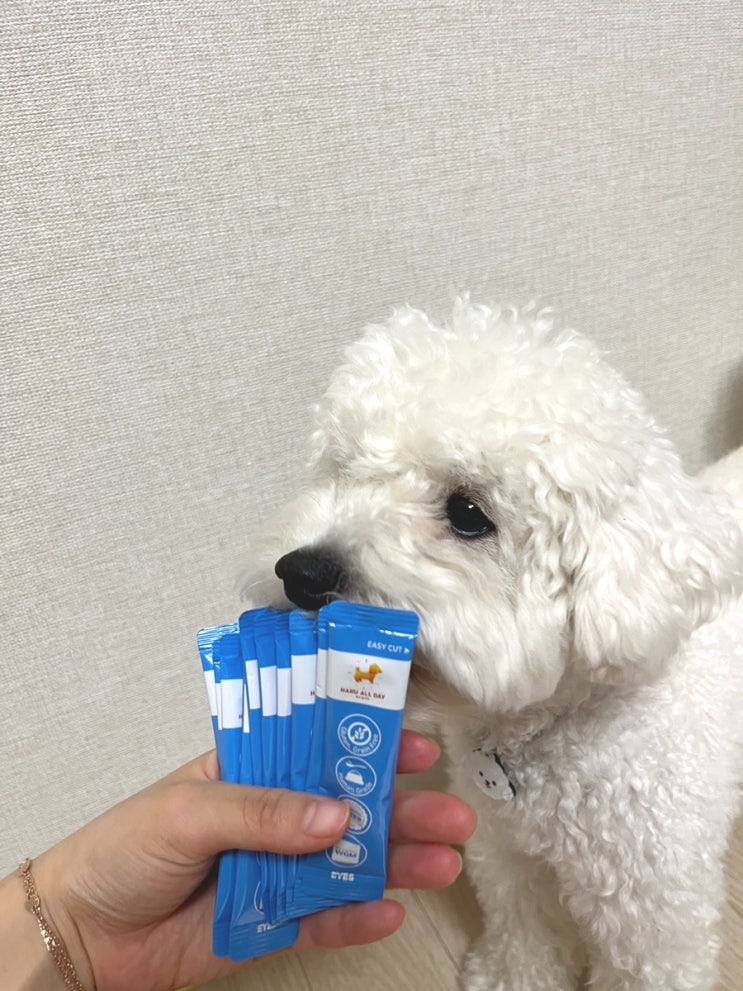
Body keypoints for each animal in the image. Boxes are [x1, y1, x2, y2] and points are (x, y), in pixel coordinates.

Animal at [242, 300, 743, 990]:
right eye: (343, 470)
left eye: (469, 514)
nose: (301, 572)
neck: (550, 731)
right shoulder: (503, 848)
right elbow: (523, 923)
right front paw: (514, 977)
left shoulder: (655, 910)